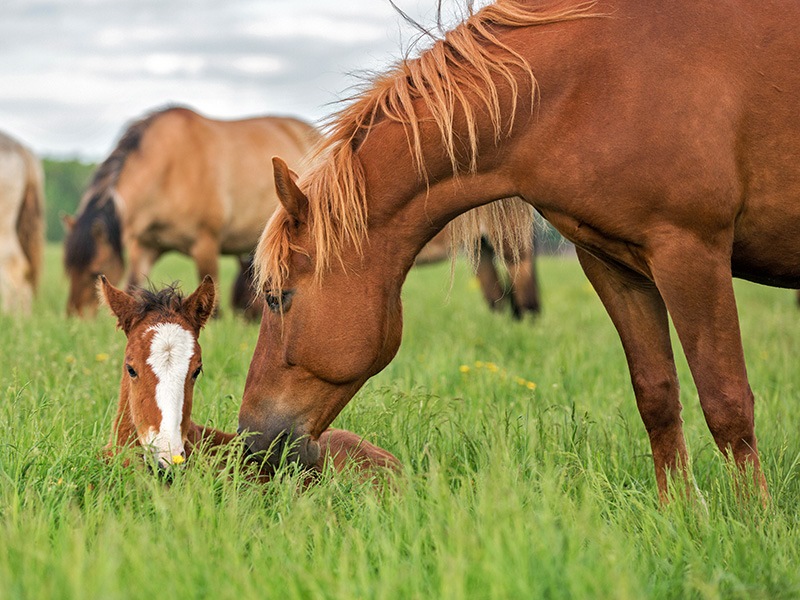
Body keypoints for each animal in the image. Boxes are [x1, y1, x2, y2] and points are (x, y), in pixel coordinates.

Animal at [64, 106, 319, 317]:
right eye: (68, 271)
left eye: (95, 272)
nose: (76, 319)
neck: (170, 167)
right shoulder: (144, 247)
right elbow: (133, 288)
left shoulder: (206, 244)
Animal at [237, 0, 800, 501]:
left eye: (277, 297)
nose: (251, 440)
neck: (595, 79)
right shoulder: (616, 265)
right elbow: (657, 397)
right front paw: (678, 516)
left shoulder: (691, 252)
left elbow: (727, 403)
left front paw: (752, 524)